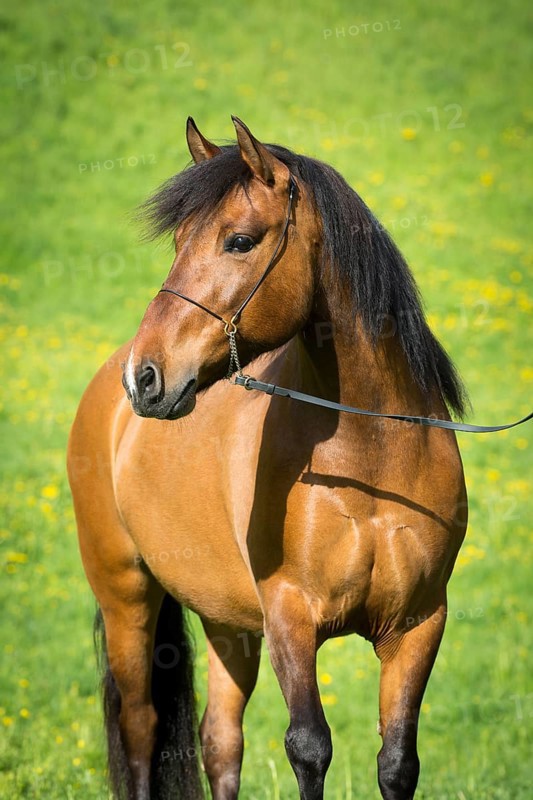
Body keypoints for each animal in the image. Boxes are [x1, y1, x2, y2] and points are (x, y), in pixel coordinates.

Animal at [67, 116, 469, 800]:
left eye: (239, 241)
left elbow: (397, 761)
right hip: (128, 599)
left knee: (220, 743)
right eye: (179, 240)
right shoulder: (290, 618)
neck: (373, 463)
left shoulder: (418, 624)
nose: (145, 377)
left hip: (227, 622)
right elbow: (309, 748)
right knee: (142, 728)